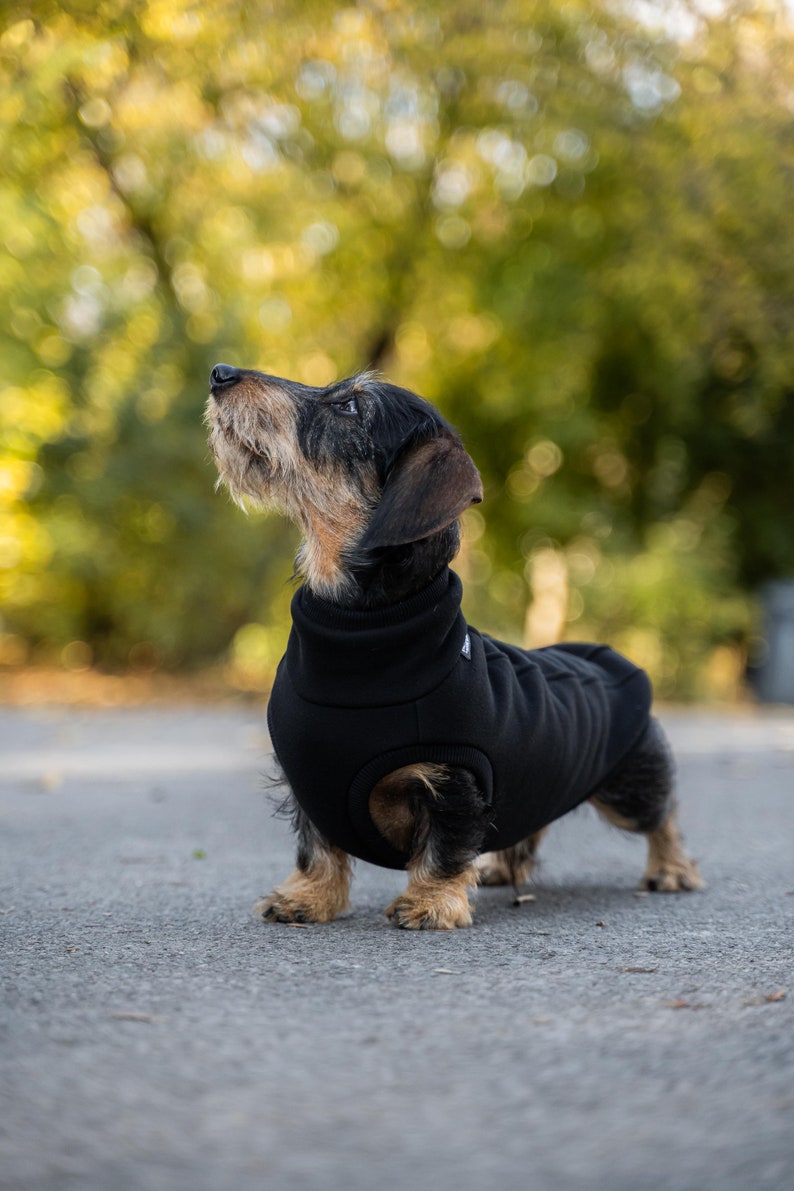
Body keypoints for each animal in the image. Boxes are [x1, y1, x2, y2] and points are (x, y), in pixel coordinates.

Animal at [208, 362, 704, 928]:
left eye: (349, 406)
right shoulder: (311, 778)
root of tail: (602, 656)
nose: (220, 373)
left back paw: (672, 870)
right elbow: (317, 848)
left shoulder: (455, 778)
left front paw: (430, 903)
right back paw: (501, 868)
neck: (363, 632)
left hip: (629, 786)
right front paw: (308, 897)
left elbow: (444, 845)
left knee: (663, 815)